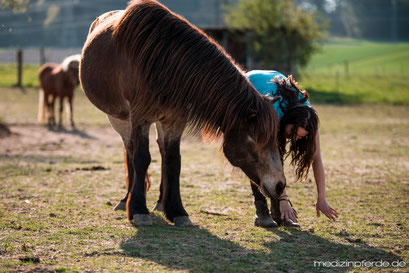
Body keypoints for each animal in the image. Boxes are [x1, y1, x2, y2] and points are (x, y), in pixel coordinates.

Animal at [79, 0, 284, 226]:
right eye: (256, 140)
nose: (280, 185)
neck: (163, 63)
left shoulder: (175, 120)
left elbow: (173, 161)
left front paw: (177, 211)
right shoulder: (140, 118)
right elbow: (141, 158)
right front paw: (139, 210)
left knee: (160, 151)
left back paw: (160, 202)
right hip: (119, 118)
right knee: (130, 150)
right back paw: (126, 200)